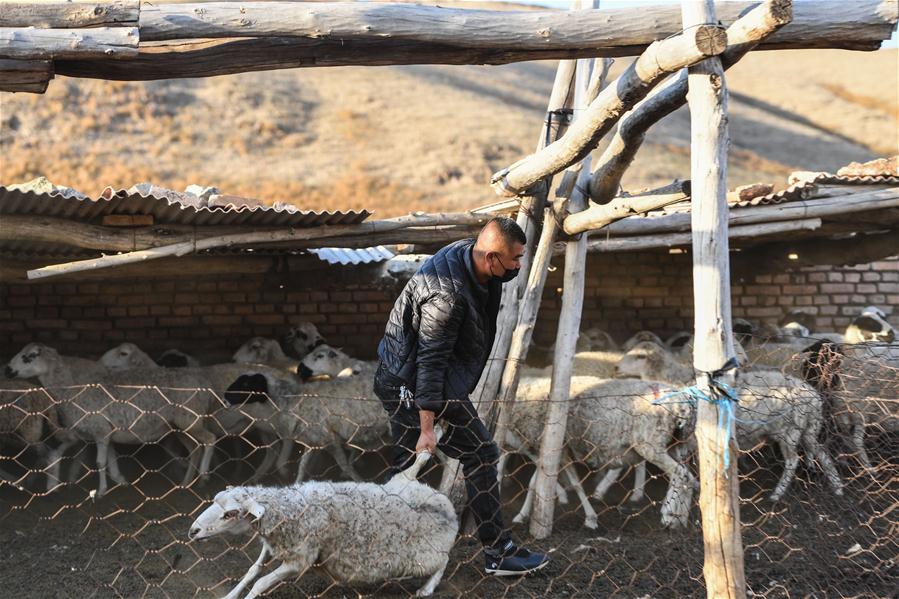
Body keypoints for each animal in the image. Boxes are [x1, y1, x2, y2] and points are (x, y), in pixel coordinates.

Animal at [189, 452, 458, 596]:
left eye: (230, 514)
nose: (193, 531)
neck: (288, 510)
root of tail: (443, 503)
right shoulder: (274, 545)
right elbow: (251, 572)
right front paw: (230, 595)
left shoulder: (300, 561)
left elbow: (260, 583)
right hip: (400, 483)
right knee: (413, 467)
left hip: (425, 557)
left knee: (443, 562)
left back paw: (427, 589)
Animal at [506, 378, 696, 532]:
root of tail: (682, 403)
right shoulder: (554, 450)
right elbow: (540, 483)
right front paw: (522, 515)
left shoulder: (550, 447)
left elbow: (569, 483)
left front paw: (590, 519)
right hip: (675, 445)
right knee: (688, 477)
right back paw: (681, 518)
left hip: (651, 444)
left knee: (680, 475)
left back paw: (669, 516)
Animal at [616, 342, 840, 502]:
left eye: (640, 356)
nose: (616, 367)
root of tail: (813, 396)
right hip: (807, 429)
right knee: (821, 452)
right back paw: (837, 487)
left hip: (790, 431)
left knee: (793, 461)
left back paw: (777, 494)